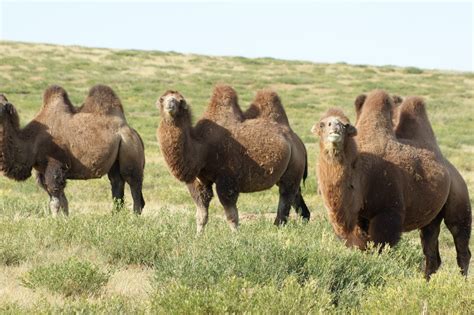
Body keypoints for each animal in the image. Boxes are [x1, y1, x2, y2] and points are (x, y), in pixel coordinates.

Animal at [0, 85, 144, 216]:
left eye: (2, 105)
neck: (32, 142)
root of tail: (133, 131)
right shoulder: (42, 171)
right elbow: (62, 201)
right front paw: (65, 220)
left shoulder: (56, 165)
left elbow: (56, 200)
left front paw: (55, 221)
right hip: (116, 158)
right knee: (116, 183)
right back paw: (115, 217)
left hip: (129, 148)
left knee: (134, 185)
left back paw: (133, 219)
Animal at [157, 85, 310, 233]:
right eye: (162, 99)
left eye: (180, 100)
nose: (170, 105)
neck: (202, 147)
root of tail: (299, 143)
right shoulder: (199, 180)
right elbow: (202, 213)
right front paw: (198, 236)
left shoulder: (227, 180)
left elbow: (231, 214)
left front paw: (236, 237)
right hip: (289, 172)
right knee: (296, 196)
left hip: (294, 166)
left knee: (286, 196)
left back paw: (277, 229)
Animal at [312, 90, 472, 280]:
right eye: (322, 124)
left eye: (346, 125)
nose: (334, 127)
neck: (361, 176)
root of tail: (453, 170)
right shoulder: (358, 221)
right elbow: (361, 248)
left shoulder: (388, 213)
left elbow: (378, 249)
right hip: (432, 215)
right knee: (431, 250)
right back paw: (425, 282)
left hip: (459, 196)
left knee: (461, 241)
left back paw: (462, 281)